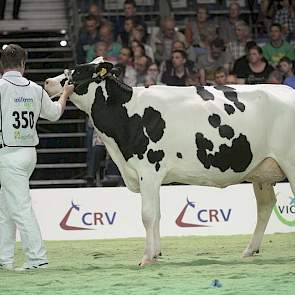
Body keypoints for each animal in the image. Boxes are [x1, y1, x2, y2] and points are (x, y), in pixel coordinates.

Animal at [45, 57, 294, 266]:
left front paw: (146, 257)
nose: (47, 81)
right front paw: (156, 254)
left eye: (77, 71)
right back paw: (249, 250)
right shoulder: (151, 176)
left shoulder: (148, 169)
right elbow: (156, 215)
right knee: (265, 206)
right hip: (261, 170)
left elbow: (147, 215)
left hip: (289, 163)